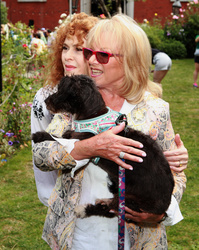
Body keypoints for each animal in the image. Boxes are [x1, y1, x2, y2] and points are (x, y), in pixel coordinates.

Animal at [32, 74, 174, 219]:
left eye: (61, 91)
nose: (46, 101)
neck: (93, 115)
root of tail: (163, 208)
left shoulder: (83, 140)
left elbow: (58, 138)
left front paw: (40, 135)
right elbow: (63, 134)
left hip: (131, 200)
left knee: (110, 210)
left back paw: (84, 209)